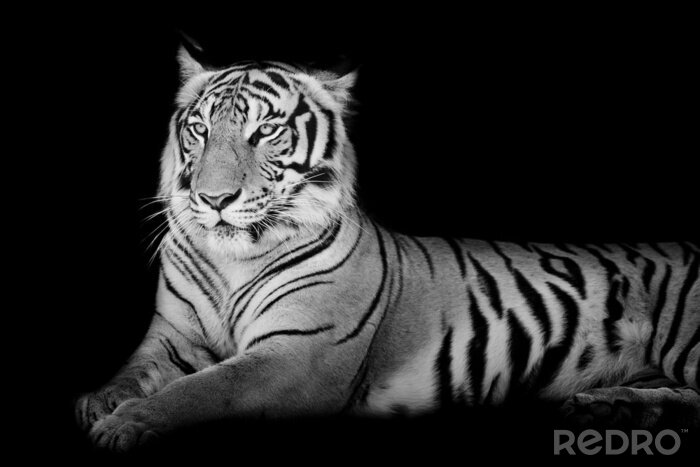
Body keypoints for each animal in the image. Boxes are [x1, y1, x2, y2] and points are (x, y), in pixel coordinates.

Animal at [75, 45, 700, 453]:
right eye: (200, 130)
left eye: (266, 131)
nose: (214, 198)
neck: (234, 259)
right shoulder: (171, 337)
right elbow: (135, 371)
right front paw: (100, 401)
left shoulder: (298, 353)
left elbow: (206, 388)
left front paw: (129, 423)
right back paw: (610, 405)